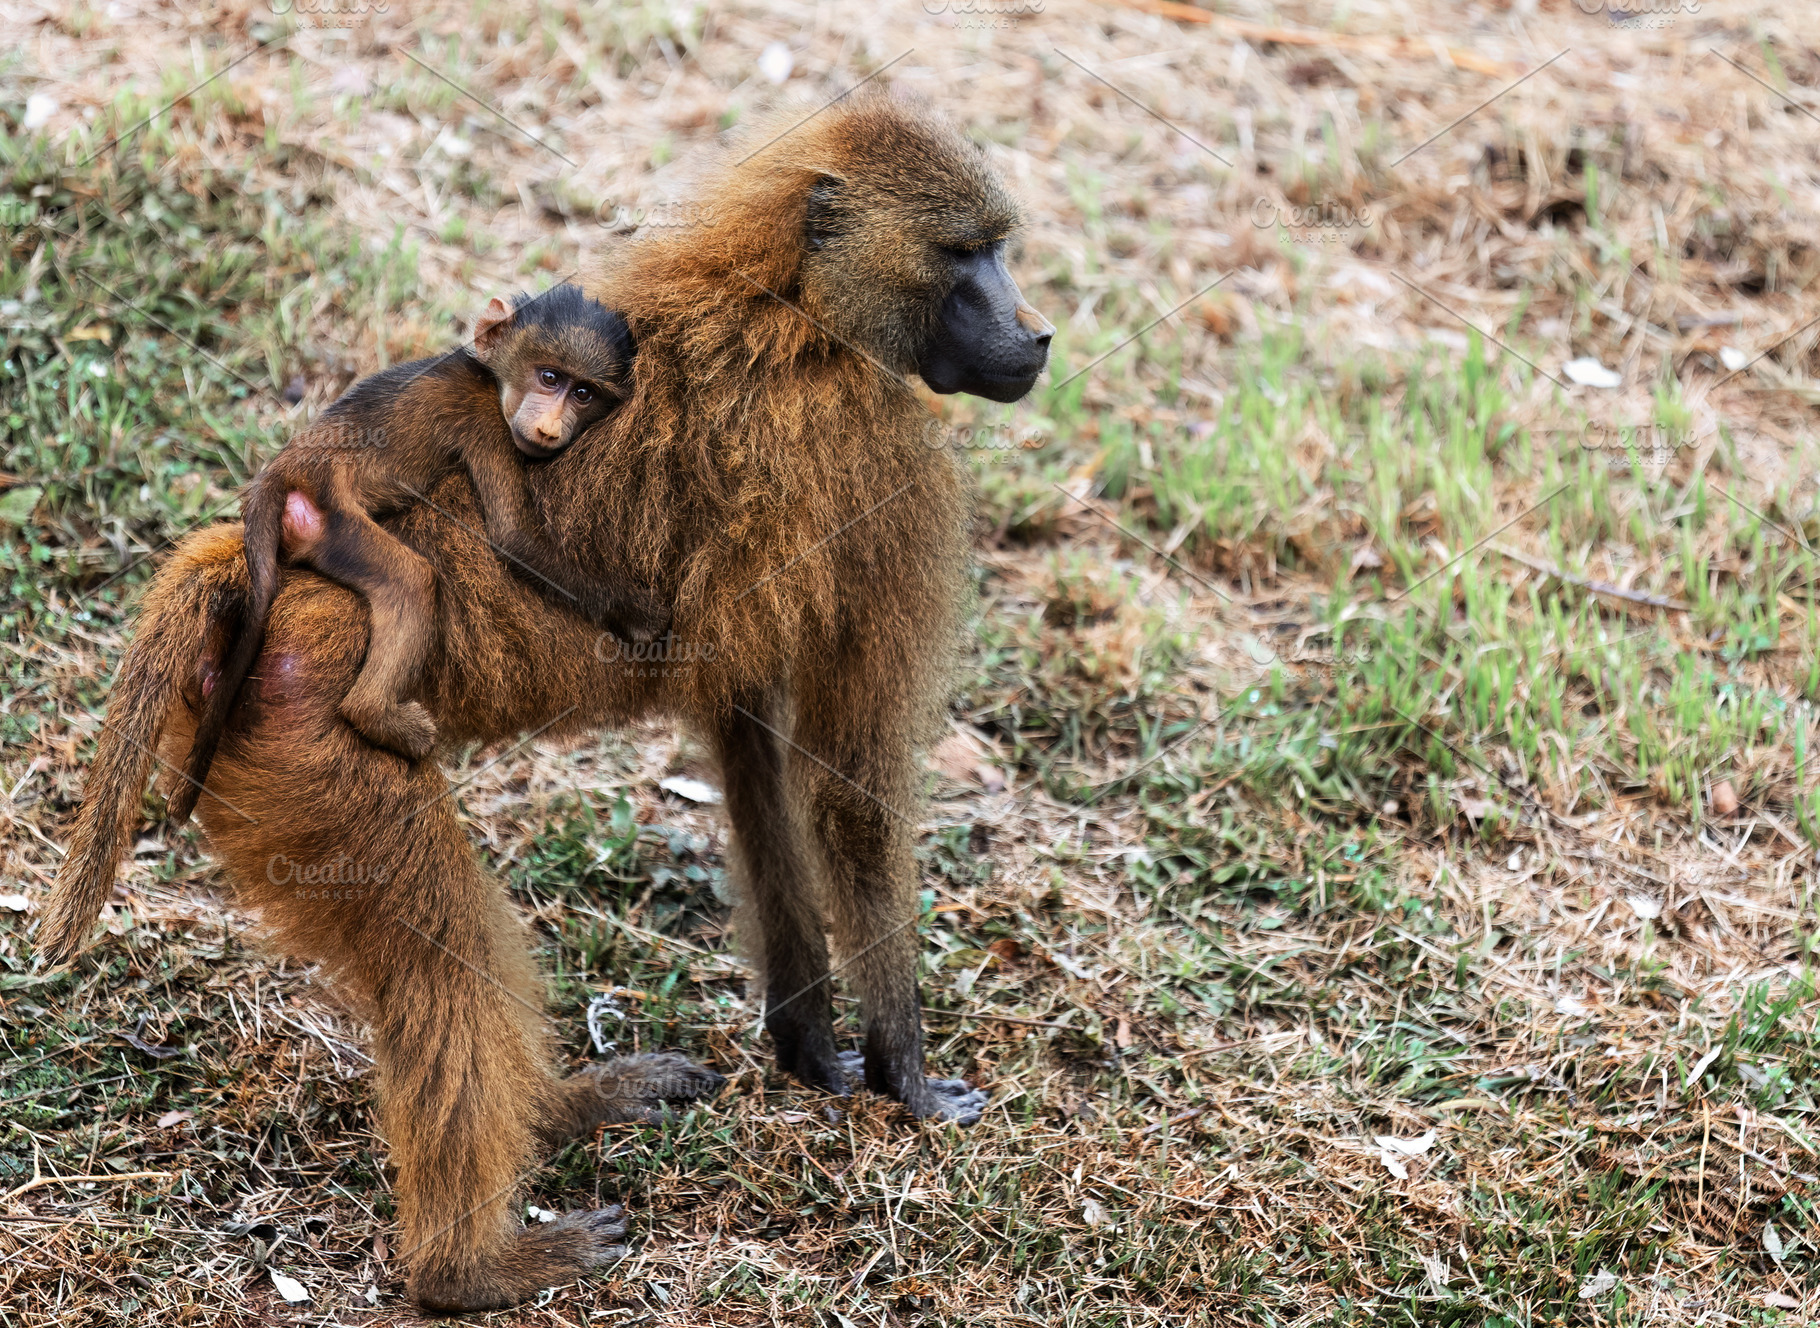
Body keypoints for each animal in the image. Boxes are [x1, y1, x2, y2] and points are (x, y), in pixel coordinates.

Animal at [168, 284, 665, 824]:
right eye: (549, 377)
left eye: (583, 393)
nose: (553, 429)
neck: (490, 378)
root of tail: (287, 466)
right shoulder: (488, 425)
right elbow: (514, 537)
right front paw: (638, 613)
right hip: (333, 520)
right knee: (412, 579)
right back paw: (375, 714)